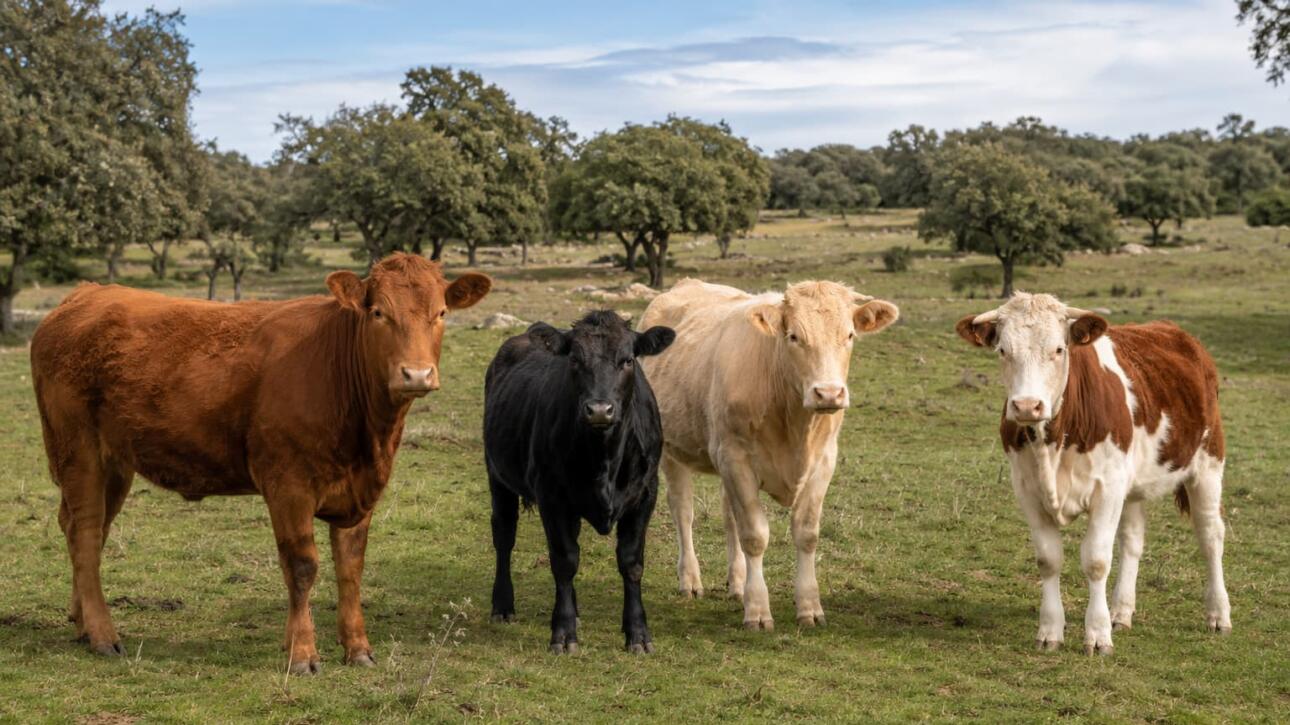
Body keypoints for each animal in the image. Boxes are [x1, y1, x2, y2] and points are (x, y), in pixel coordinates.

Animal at [29, 254, 491, 674]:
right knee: (86, 533)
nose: (416, 375)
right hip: (78, 451)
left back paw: (81, 623)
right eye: (378, 312)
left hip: (115, 462)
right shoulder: (288, 484)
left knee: (86, 528)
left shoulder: (360, 493)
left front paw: (357, 649)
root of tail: (85, 295)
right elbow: (302, 567)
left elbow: (350, 568)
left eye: (441, 313)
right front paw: (302, 654)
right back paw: (103, 635)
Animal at [483, 311, 675, 654]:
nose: (599, 409)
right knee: (504, 535)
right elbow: (564, 560)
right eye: (574, 359)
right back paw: (503, 606)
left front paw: (637, 633)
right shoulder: (551, 496)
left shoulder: (645, 494)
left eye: (627, 360)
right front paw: (563, 632)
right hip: (498, 475)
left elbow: (631, 562)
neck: (605, 457)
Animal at [639, 279, 899, 630]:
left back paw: (736, 583)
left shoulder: (823, 461)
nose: (829, 393)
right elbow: (754, 535)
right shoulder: (736, 458)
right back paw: (690, 581)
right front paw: (758, 611)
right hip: (671, 447)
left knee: (728, 515)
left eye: (849, 335)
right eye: (794, 337)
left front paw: (809, 607)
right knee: (683, 510)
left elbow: (806, 533)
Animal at [956, 292, 1231, 655]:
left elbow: (1097, 560)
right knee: (1133, 541)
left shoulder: (1107, 489)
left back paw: (1218, 615)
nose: (1027, 406)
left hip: (1208, 464)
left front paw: (1098, 636)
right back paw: (1121, 612)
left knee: (1211, 536)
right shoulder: (1028, 489)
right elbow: (1048, 559)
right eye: (1002, 350)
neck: (1052, 441)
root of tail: (1175, 331)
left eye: (1059, 349)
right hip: (1132, 486)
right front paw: (1050, 631)